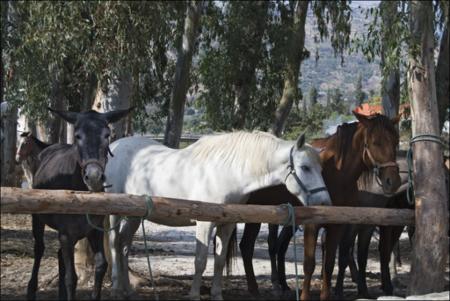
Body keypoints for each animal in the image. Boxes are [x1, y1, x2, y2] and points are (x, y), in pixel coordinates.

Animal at [104, 130, 330, 298]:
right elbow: (200, 261)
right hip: (116, 211)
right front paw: (194, 295)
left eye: (321, 169)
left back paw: (128, 290)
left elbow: (219, 261)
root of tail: (115, 147)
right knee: (115, 243)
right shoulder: (204, 223)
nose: (325, 203)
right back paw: (116, 288)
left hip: (134, 216)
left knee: (124, 245)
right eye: (305, 167)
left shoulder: (227, 224)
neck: (226, 174)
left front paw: (216, 294)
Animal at [237, 111, 400, 298]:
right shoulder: (312, 224)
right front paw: (305, 296)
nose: (392, 181)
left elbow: (329, 264)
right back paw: (256, 289)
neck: (336, 174)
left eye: (396, 141)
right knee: (248, 246)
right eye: (375, 142)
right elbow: (309, 264)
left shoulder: (337, 226)